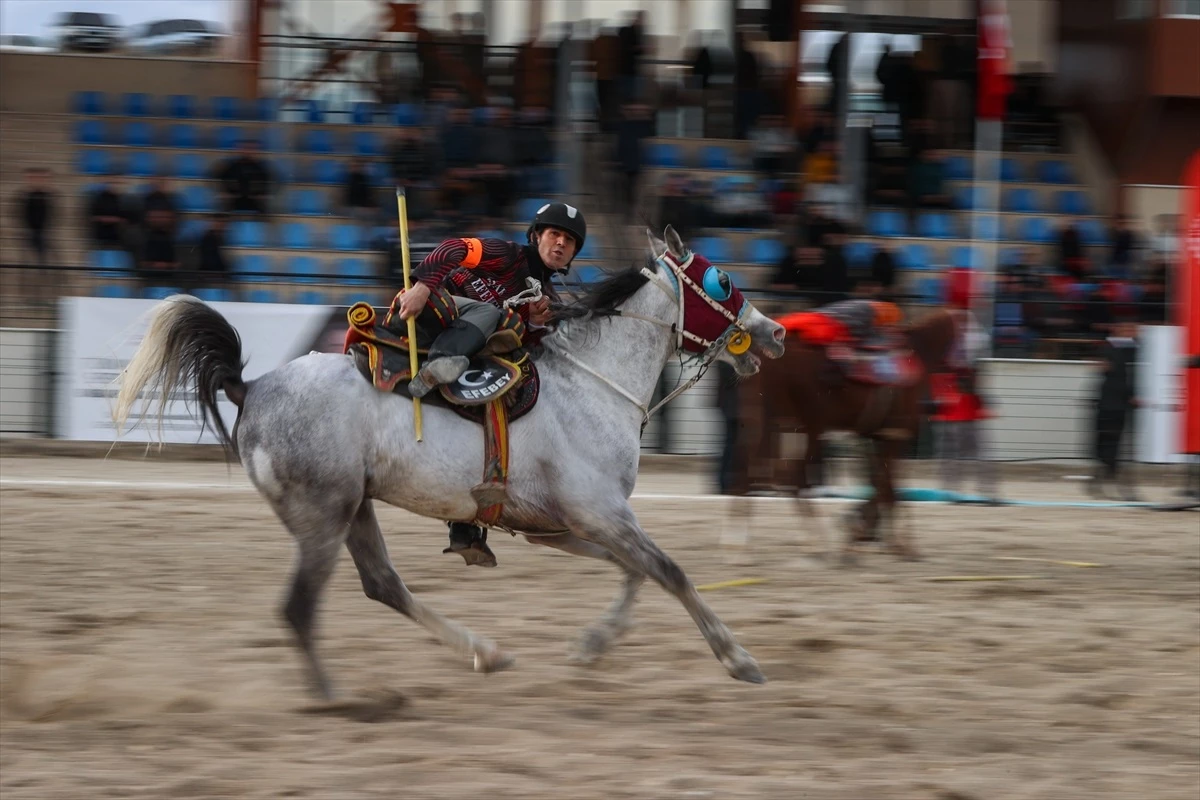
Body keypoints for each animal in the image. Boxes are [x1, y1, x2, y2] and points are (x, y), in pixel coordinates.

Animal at [114, 226, 787, 700]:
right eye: (721, 279)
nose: (775, 333)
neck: (590, 385)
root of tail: (251, 387)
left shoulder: (564, 526)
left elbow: (637, 573)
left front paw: (594, 644)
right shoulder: (601, 512)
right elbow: (670, 571)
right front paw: (739, 659)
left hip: (352, 507)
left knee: (382, 585)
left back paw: (484, 652)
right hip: (322, 514)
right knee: (300, 608)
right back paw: (334, 697)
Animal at [720, 307, 955, 563]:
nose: (940, 404)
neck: (918, 352)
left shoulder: (876, 436)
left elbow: (881, 484)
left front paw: (865, 533)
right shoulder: (894, 436)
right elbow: (887, 487)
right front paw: (885, 540)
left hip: (772, 420)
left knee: (758, 467)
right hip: (801, 422)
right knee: (785, 474)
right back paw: (810, 540)